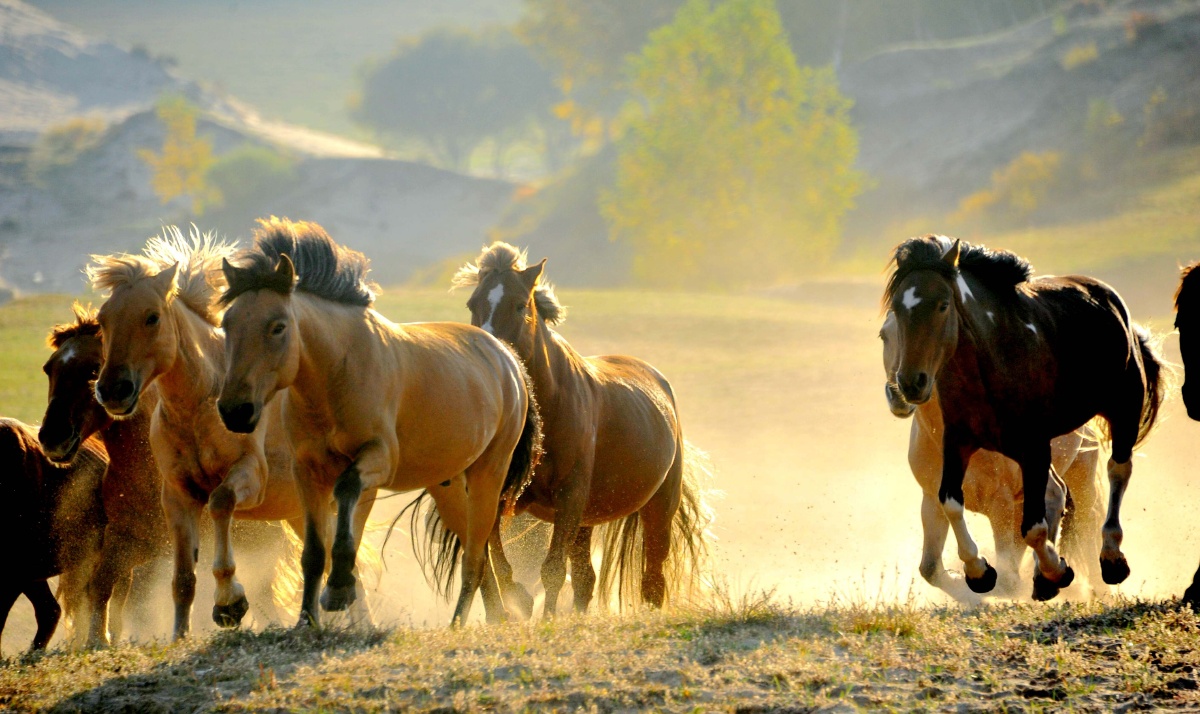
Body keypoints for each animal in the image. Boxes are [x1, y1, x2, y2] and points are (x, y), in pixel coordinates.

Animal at [38, 303, 167, 647]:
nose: (52, 437)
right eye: (49, 369)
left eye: (94, 369)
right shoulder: (130, 539)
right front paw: (98, 639)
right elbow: (101, 585)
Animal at [88, 226, 371, 639]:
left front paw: (229, 603)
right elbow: (182, 579)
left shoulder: (249, 476)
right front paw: (179, 635)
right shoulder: (177, 496)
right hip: (298, 512)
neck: (198, 409)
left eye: (151, 317)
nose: (112, 390)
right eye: (103, 320)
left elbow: (221, 504)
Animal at [216, 218, 540, 627]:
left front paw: (339, 589)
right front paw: (306, 621)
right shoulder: (306, 471)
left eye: (278, 326)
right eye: (227, 323)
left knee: (476, 556)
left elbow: (347, 492)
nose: (234, 410)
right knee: (476, 553)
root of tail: (508, 358)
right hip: (447, 484)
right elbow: (313, 554)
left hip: (488, 472)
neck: (337, 374)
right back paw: (489, 619)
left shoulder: (378, 460)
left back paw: (458, 625)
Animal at [452, 242, 711, 616]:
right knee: (586, 578)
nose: (490, 357)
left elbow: (552, 570)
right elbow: (500, 563)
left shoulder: (569, 497)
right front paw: (517, 604)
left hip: (658, 508)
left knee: (652, 579)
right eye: (473, 303)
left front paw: (545, 617)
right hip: (586, 519)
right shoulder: (501, 493)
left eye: (519, 304)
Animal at [880, 310, 1107, 600]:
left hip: (1081, 477)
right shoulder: (931, 498)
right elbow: (930, 568)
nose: (899, 395)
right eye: (884, 335)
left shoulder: (1002, 502)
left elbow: (1008, 577)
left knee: (1087, 527)